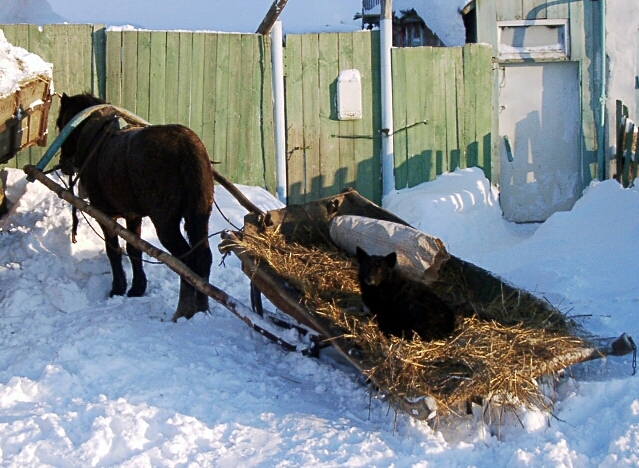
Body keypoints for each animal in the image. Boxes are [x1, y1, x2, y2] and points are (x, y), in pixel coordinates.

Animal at [57, 93, 215, 324]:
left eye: (60, 123)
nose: (64, 164)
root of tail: (186, 145)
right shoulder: (133, 216)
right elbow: (134, 249)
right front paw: (137, 288)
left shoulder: (104, 214)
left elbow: (113, 249)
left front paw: (118, 288)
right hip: (199, 215)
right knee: (203, 257)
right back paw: (202, 308)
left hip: (166, 222)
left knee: (185, 260)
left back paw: (183, 310)